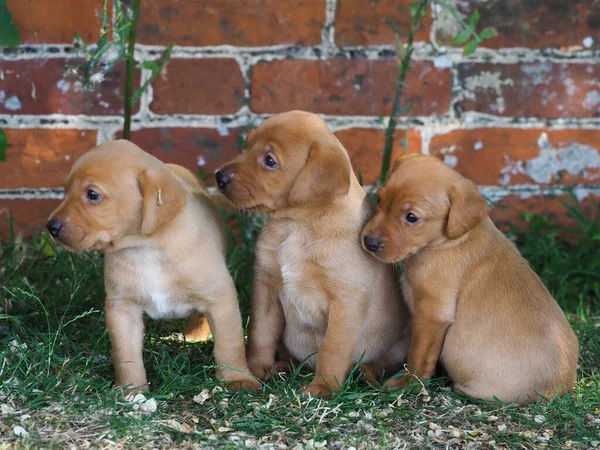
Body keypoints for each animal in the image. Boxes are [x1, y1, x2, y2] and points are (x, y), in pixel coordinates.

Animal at [48, 139, 258, 392]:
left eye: (93, 194)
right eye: (65, 190)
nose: (51, 227)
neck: (146, 249)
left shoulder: (221, 297)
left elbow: (229, 344)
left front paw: (236, 379)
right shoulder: (122, 308)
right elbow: (125, 354)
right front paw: (130, 389)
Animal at [213, 110, 410, 396]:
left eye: (270, 161)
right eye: (246, 146)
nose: (219, 176)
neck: (297, 226)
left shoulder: (346, 302)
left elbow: (332, 349)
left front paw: (323, 386)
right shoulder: (266, 287)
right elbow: (261, 335)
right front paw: (256, 369)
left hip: (401, 342)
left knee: (384, 361)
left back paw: (365, 373)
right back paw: (282, 366)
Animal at [358, 155, 580, 404]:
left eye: (412, 218)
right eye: (380, 199)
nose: (369, 242)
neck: (447, 241)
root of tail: (559, 388)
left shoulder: (431, 315)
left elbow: (418, 355)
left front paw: (407, 383)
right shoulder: (417, 314)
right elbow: (399, 348)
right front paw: (371, 369)